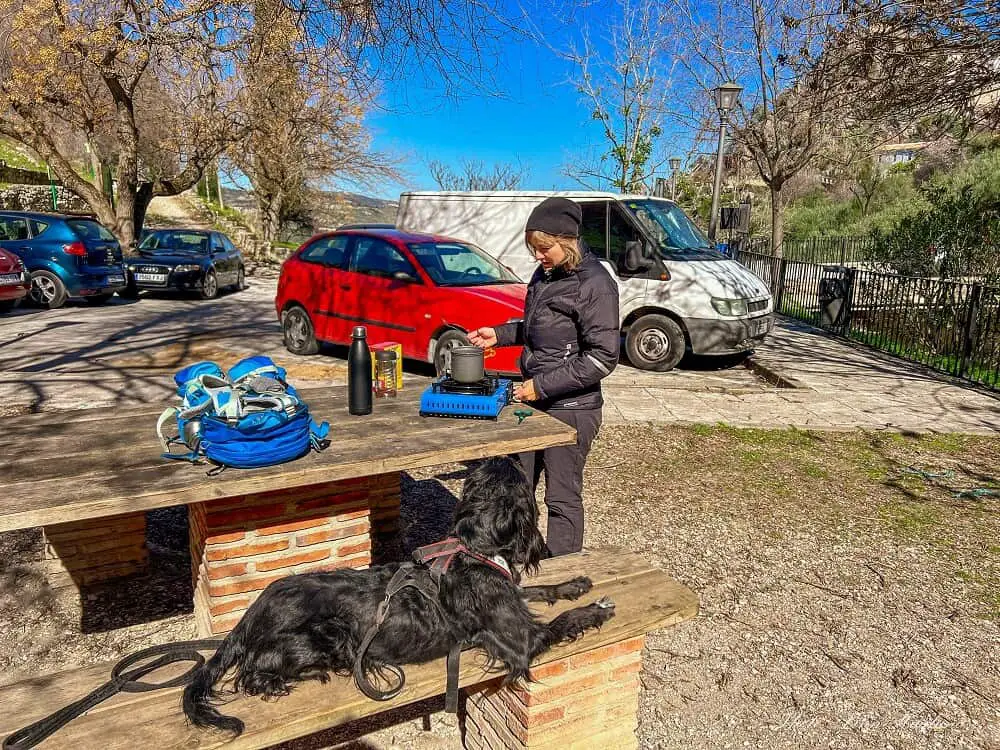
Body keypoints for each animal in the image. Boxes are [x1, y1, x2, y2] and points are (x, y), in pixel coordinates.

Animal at [184, 458, 612, 736]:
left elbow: (534, 590)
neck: (474, 548)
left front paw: (575, 585)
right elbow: (562, 620)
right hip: (329, 634)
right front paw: (596, 609)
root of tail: (252, 612)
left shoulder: (513, 598)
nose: (505, 455)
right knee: (252, 670)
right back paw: (294, 677)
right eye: (522, 476)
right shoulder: (521, 643)